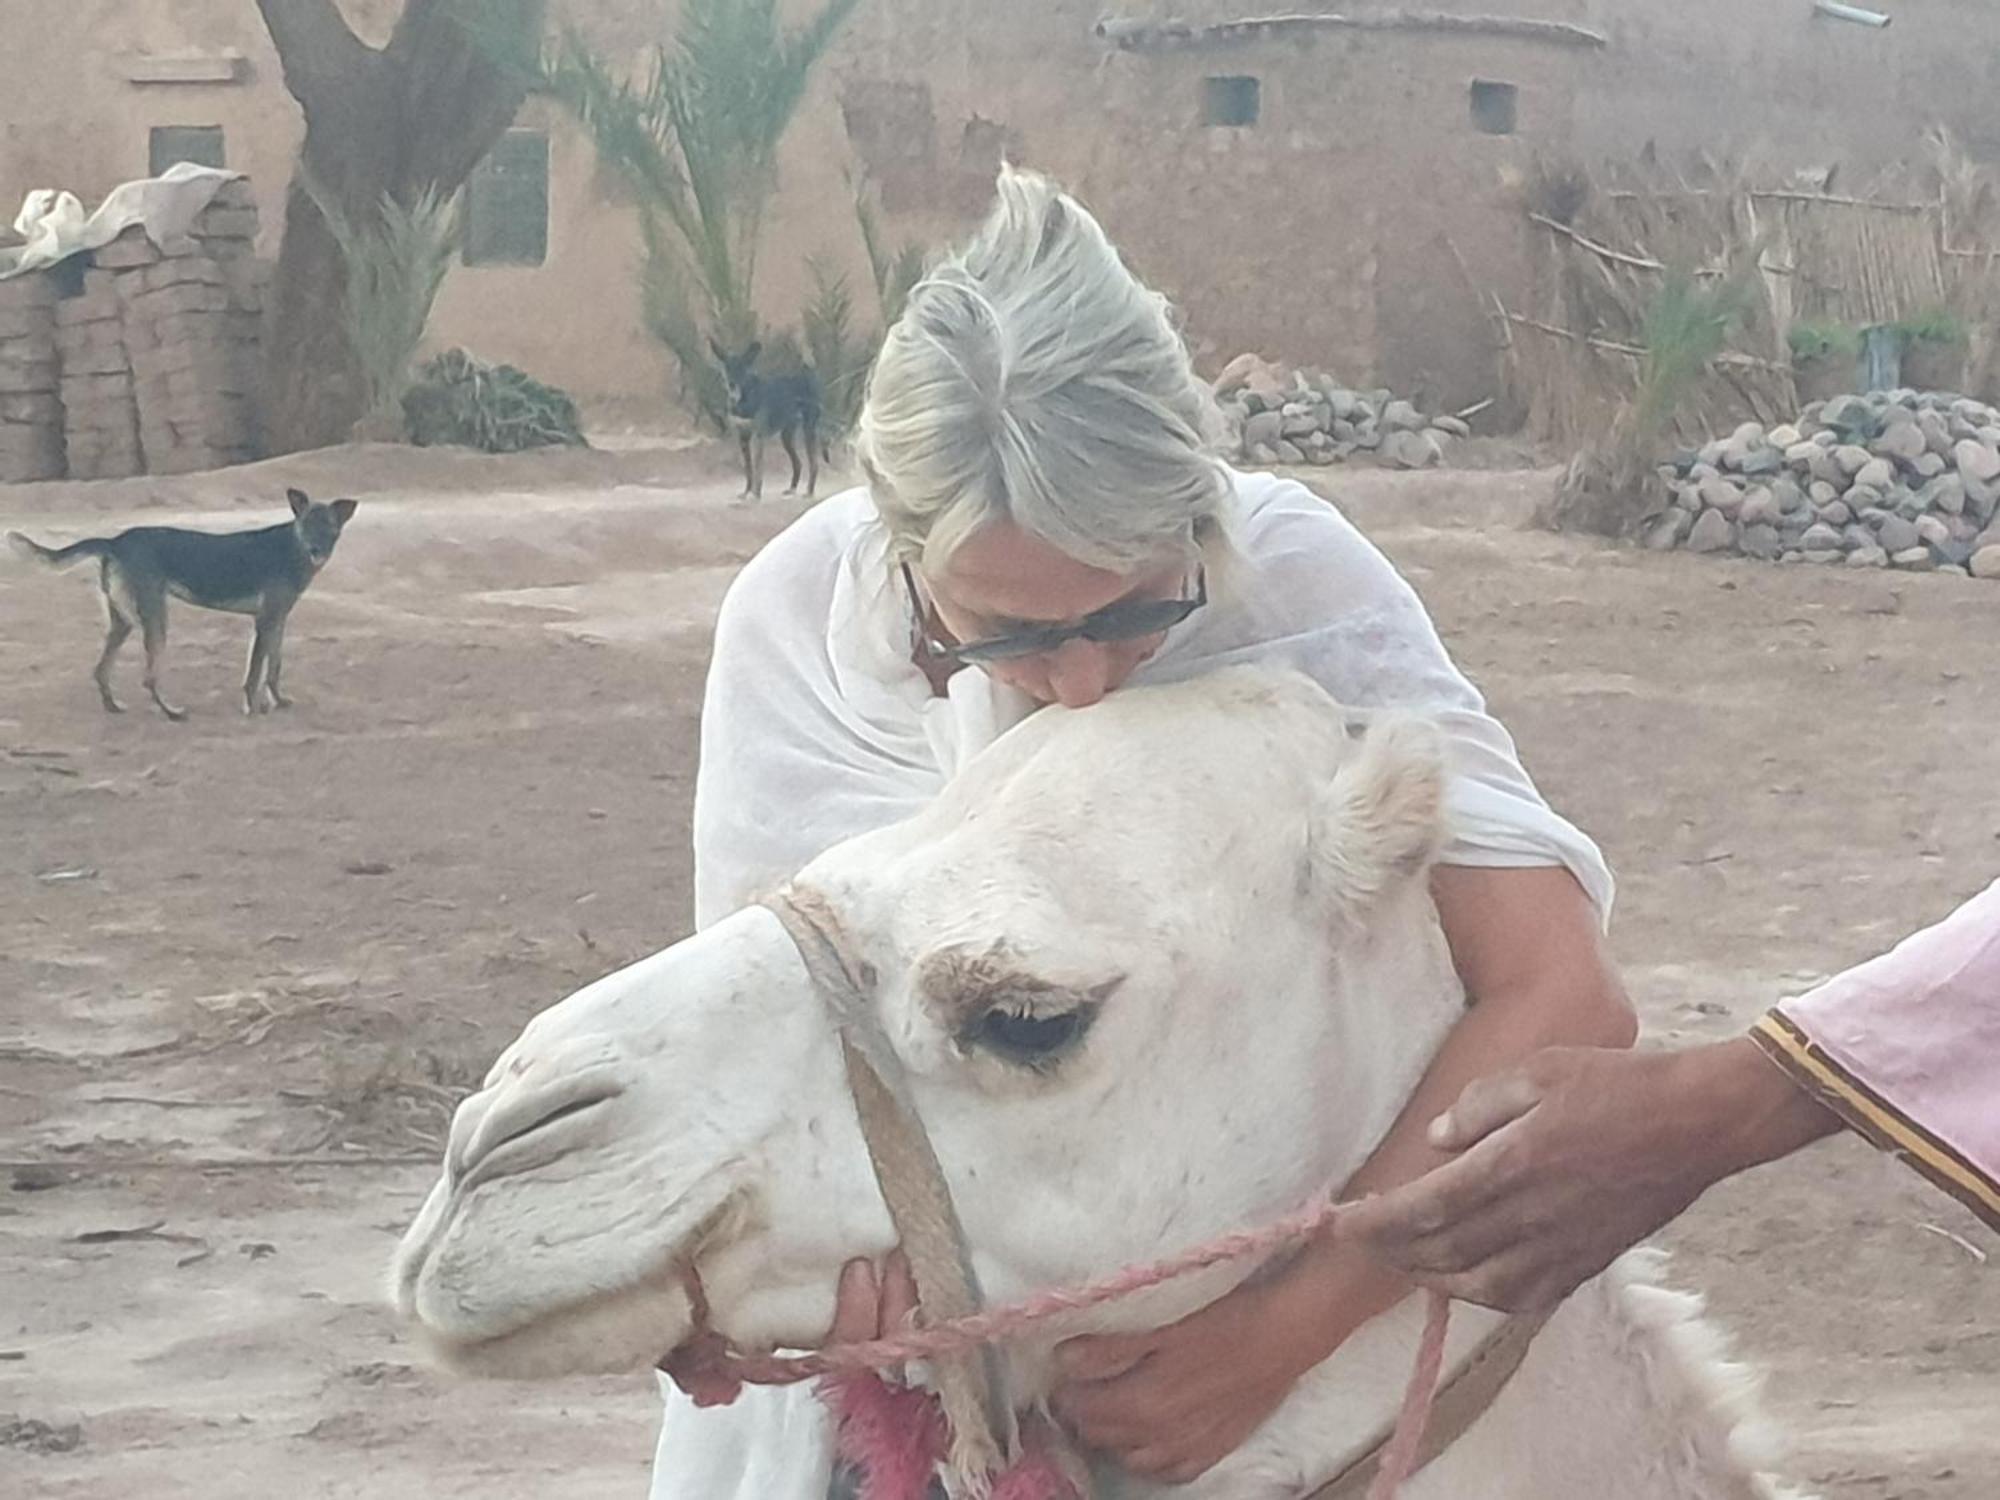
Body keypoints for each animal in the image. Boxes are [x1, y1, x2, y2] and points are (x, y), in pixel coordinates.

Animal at [6, 482, 360, 716]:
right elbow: (254, 674)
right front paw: (253, 708)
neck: (292, 547)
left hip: (123, 620)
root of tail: (115, 541)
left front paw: (278, 701)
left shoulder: (278, 621)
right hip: (156, 620)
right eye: (306, 525)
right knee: (148, 678)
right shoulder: (264, 621)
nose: (317, 551)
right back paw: (170, 712)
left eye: (329, 527)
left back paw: (113, 706)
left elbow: (274, 667)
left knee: (101, 670)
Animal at [712, 338, 820, 502]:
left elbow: (758, 467)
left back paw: (809, 492)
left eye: (741, 368)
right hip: (786, 437)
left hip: (809, 430)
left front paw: (756, 494)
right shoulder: (743, 437)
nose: (732, 384)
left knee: (814, 463)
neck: (745, 399)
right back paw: (792, 489)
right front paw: (747, 492)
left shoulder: (759, 436)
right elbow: (748, 469)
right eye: (727, 367)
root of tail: (808, 375)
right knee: (798, 463)